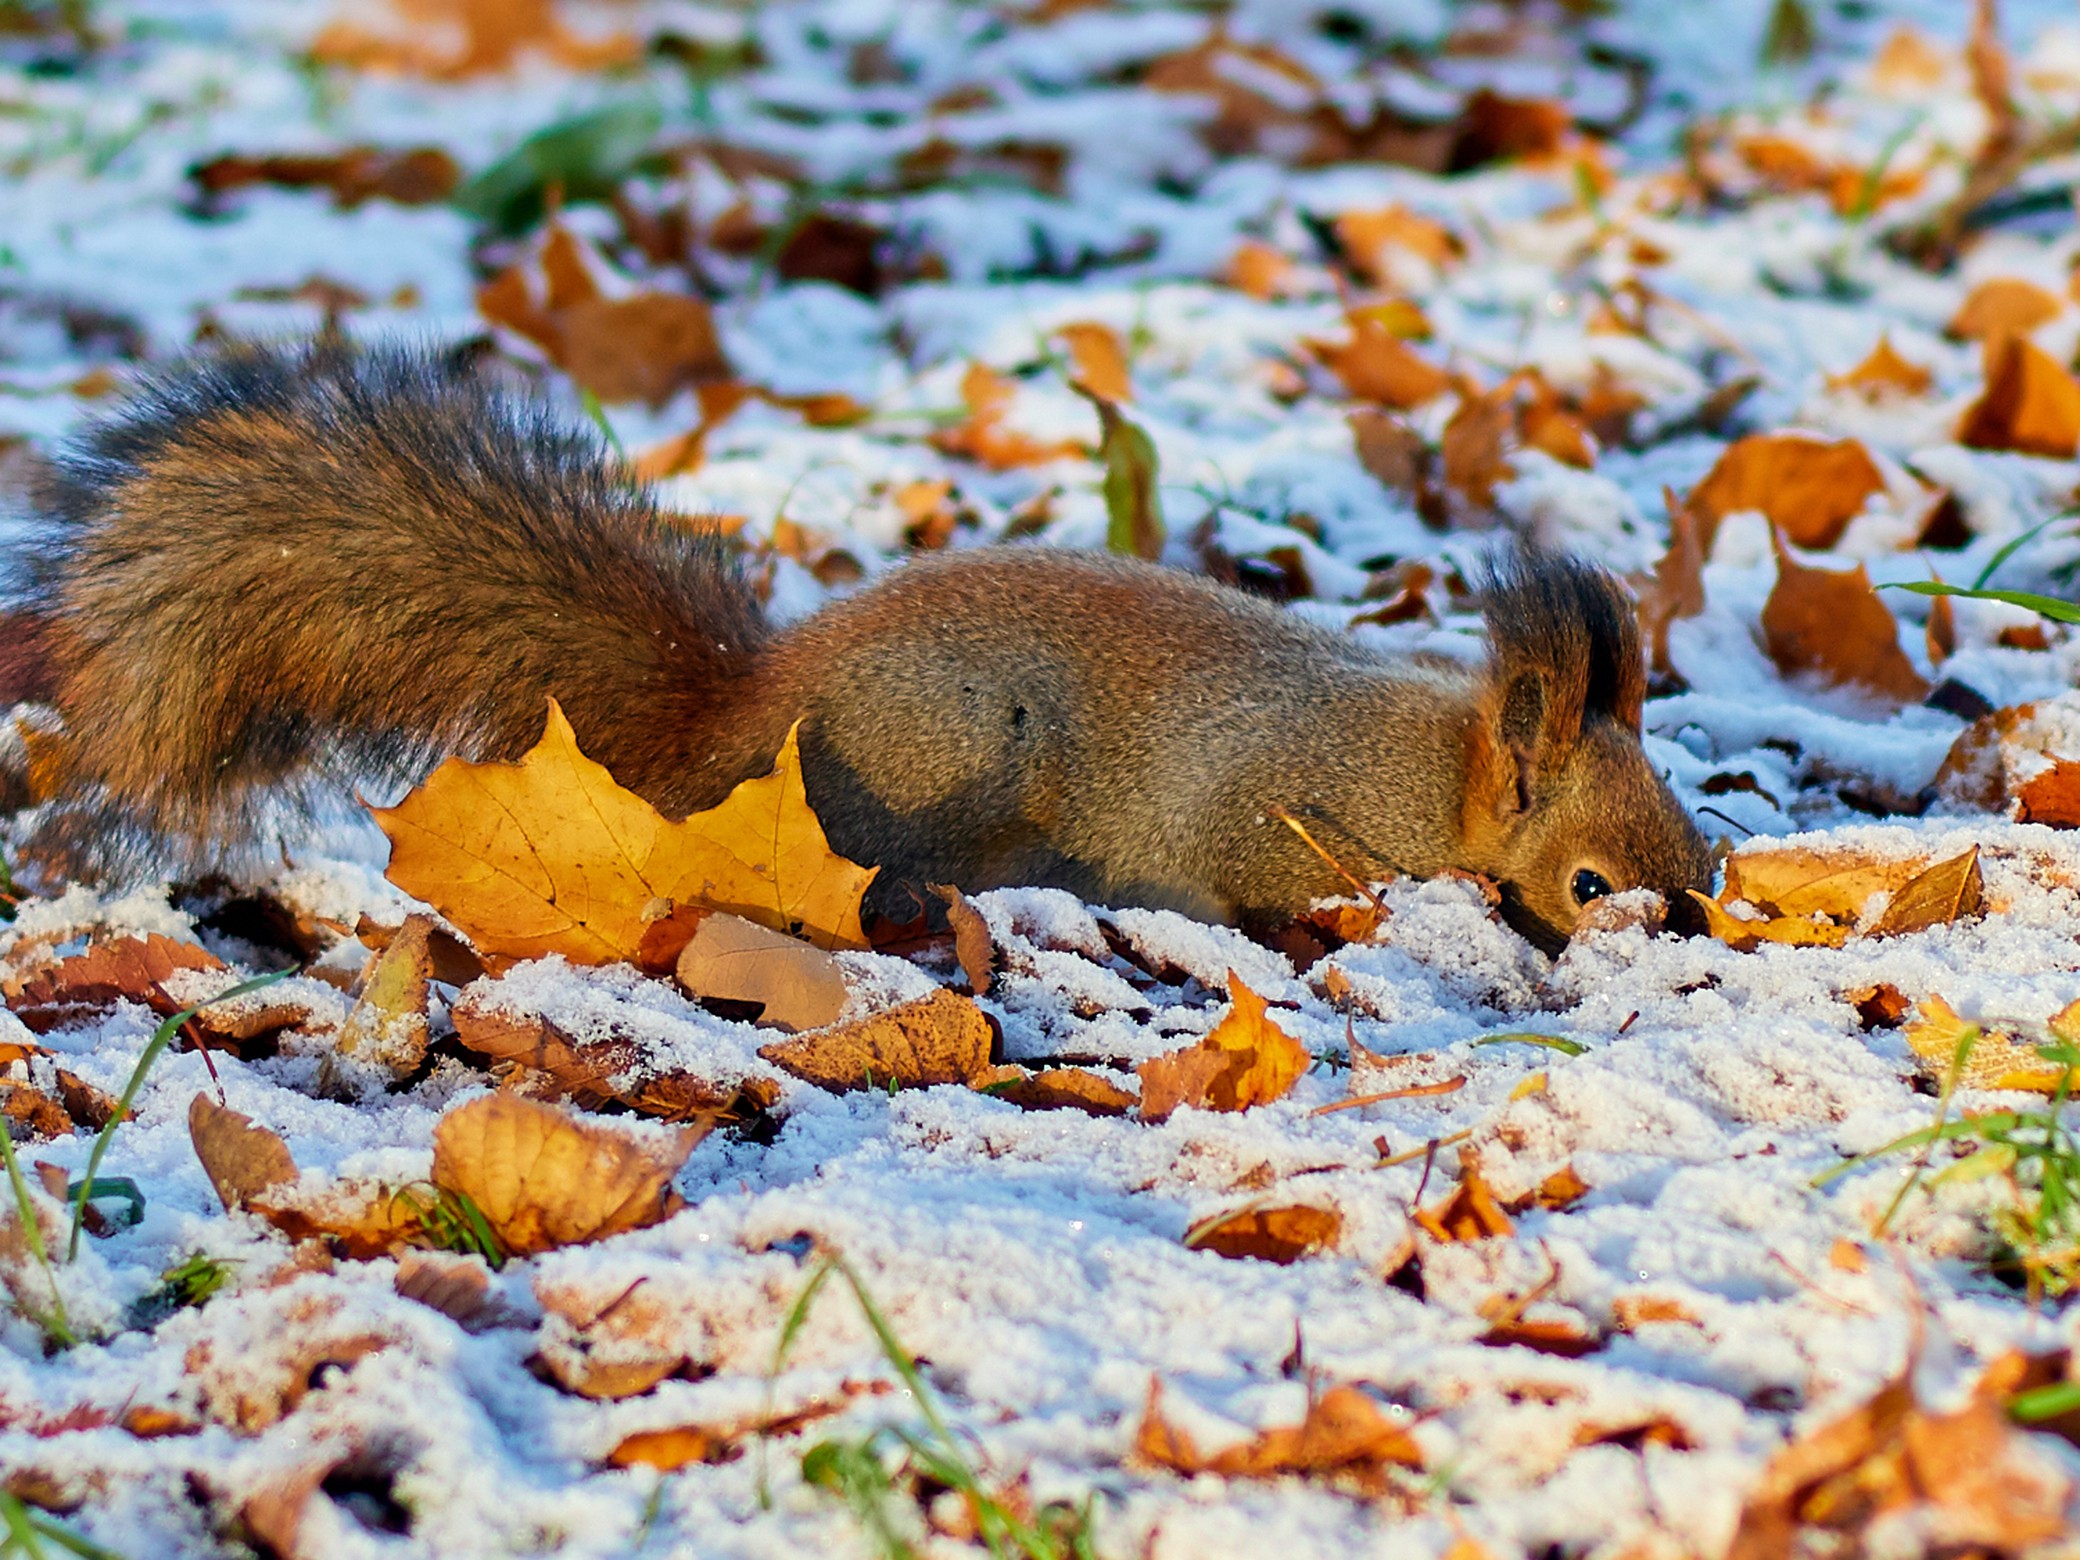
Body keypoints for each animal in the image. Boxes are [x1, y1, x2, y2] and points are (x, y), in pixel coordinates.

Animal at [16, 341, 1705, 952]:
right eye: (1591, 884)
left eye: (1701, 847)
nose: (1695, 937)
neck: (1433, 765)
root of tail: (730, 717)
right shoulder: (1278, 808)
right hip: (951, 750)